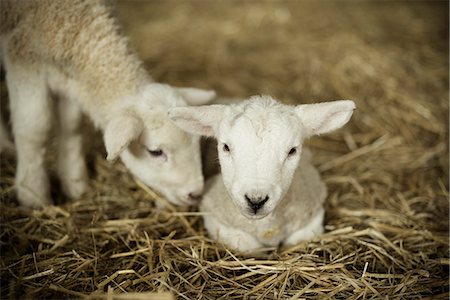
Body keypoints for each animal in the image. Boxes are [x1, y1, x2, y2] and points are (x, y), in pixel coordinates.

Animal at [0, 0, 215, 209]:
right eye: (155, 152)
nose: (195, 194)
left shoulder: (69, 79)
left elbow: (71, 127)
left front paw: (76, 185)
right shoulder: (24, 58)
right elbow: (35, 129)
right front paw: (33, 194)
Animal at [169, 96, 356, 251]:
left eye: (292, 150)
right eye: (225, 147)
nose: (255, 200)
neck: (266, 227)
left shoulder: (313, 215)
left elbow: (298, 239)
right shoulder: (215, 217)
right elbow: (248, 246)